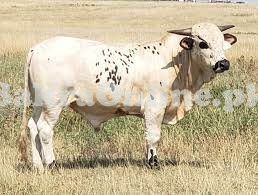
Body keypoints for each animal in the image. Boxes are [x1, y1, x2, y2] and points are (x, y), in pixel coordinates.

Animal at [18, 22, 236, 169]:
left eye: (221, 42)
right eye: (203, 43)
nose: (223, 63)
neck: (175, 61)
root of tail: (37, 48)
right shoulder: (155, 109)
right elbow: (153, 136)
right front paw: (153, 163)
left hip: (39, 104)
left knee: (33, 127)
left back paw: (38, 165)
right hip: (53, 105)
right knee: (45, 130)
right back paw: (51, 163)